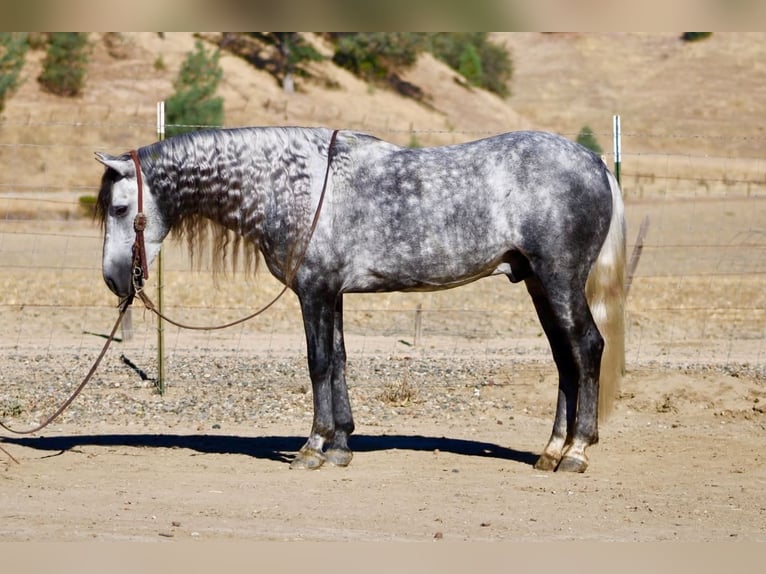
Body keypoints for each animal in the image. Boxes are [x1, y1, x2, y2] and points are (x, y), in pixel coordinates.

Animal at [95, 126, 625, 473]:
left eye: (120, 208)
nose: (114, 279)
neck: (295, 183)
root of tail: (595, 162)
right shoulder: (333, 294)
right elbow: (340, 362)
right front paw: (341, 445)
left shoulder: (314, 292)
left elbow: (318, 364)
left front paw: (313, 447)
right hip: (539, 284)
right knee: (565, 358)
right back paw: (551, 450)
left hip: (558, 280)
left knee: (587, 348)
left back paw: (576, 451)